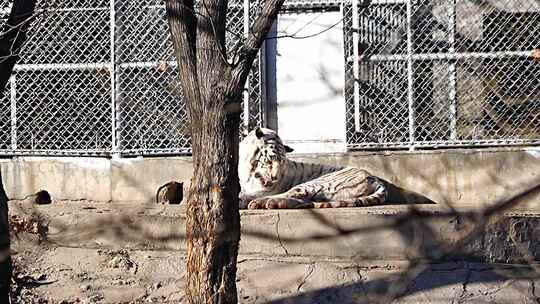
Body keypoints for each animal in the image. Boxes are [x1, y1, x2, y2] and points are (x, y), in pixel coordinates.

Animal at [239, 127, 396, 209]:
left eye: (282, 163)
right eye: (271, 159)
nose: (275, 178)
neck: (249, 169)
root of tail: (375, 179)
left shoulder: (264, 189)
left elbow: (250, 194)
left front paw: (243, 199)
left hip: (316, 183)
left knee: (291, 194)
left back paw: (263, 203)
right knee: (303, 201)